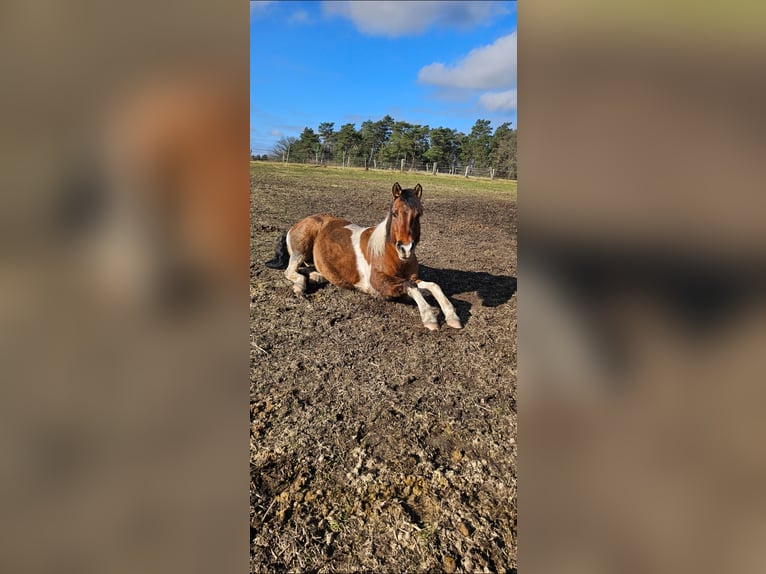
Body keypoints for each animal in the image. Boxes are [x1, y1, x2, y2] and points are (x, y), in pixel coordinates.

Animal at [266, 182, 462, 331]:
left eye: (418, 214)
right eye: (394, 213)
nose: (405, 249)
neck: (392, 255)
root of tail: (298, 223)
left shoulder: (413, 279)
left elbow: (433, 286)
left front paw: (452, 316)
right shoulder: (380, 285)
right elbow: (410, 286)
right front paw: (430, 318)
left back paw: (316, 277)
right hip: (301, 249)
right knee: (290, 271)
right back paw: (300, 285)